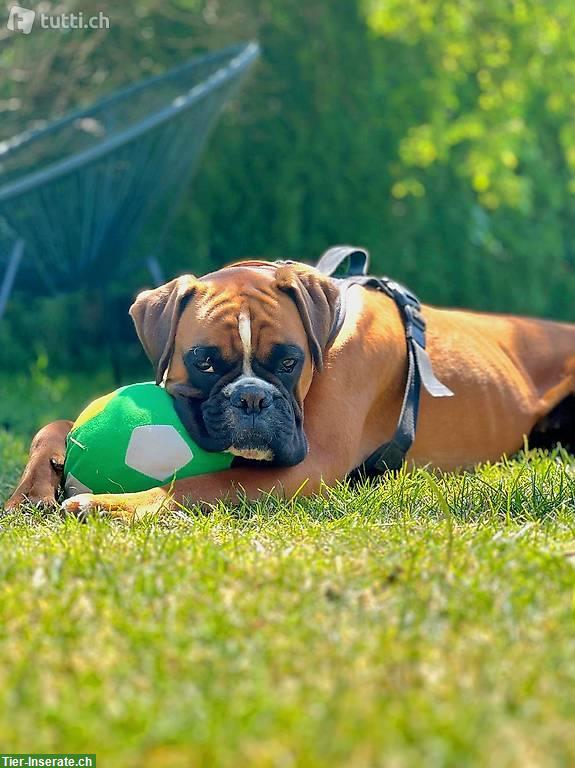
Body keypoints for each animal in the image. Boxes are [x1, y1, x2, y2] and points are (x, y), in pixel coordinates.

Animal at [6, 249, 575, 520]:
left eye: (288, 362)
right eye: (204, 363)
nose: (252, 398)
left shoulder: (309, 465)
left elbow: (201, 483)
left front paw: (107, 504)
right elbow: (58, 423)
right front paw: (31, 489)